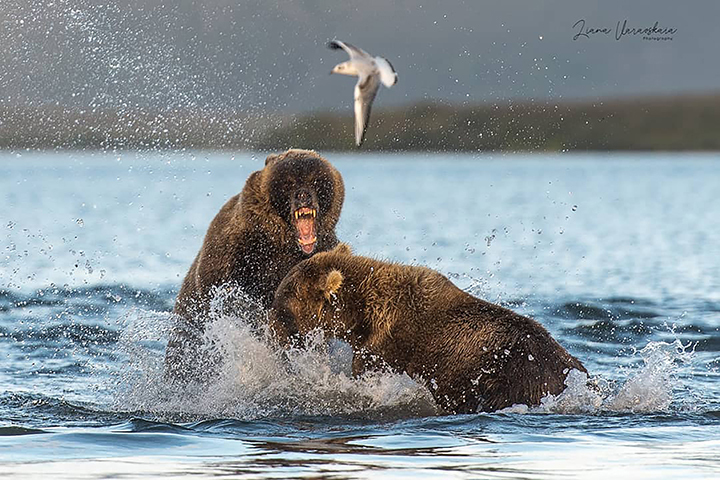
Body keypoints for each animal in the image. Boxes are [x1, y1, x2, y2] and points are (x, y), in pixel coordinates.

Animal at [165, 148, 344, 380]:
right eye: (288, 181)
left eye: (314, 179)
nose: (303, 196)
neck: (282, 244)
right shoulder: (236, 252)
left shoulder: (322, 253)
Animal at [268, 244, 588, 412]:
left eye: (283, 305)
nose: (272, 332)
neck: (363, 316)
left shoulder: (389, 346)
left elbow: (365, 369)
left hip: (511, 373)